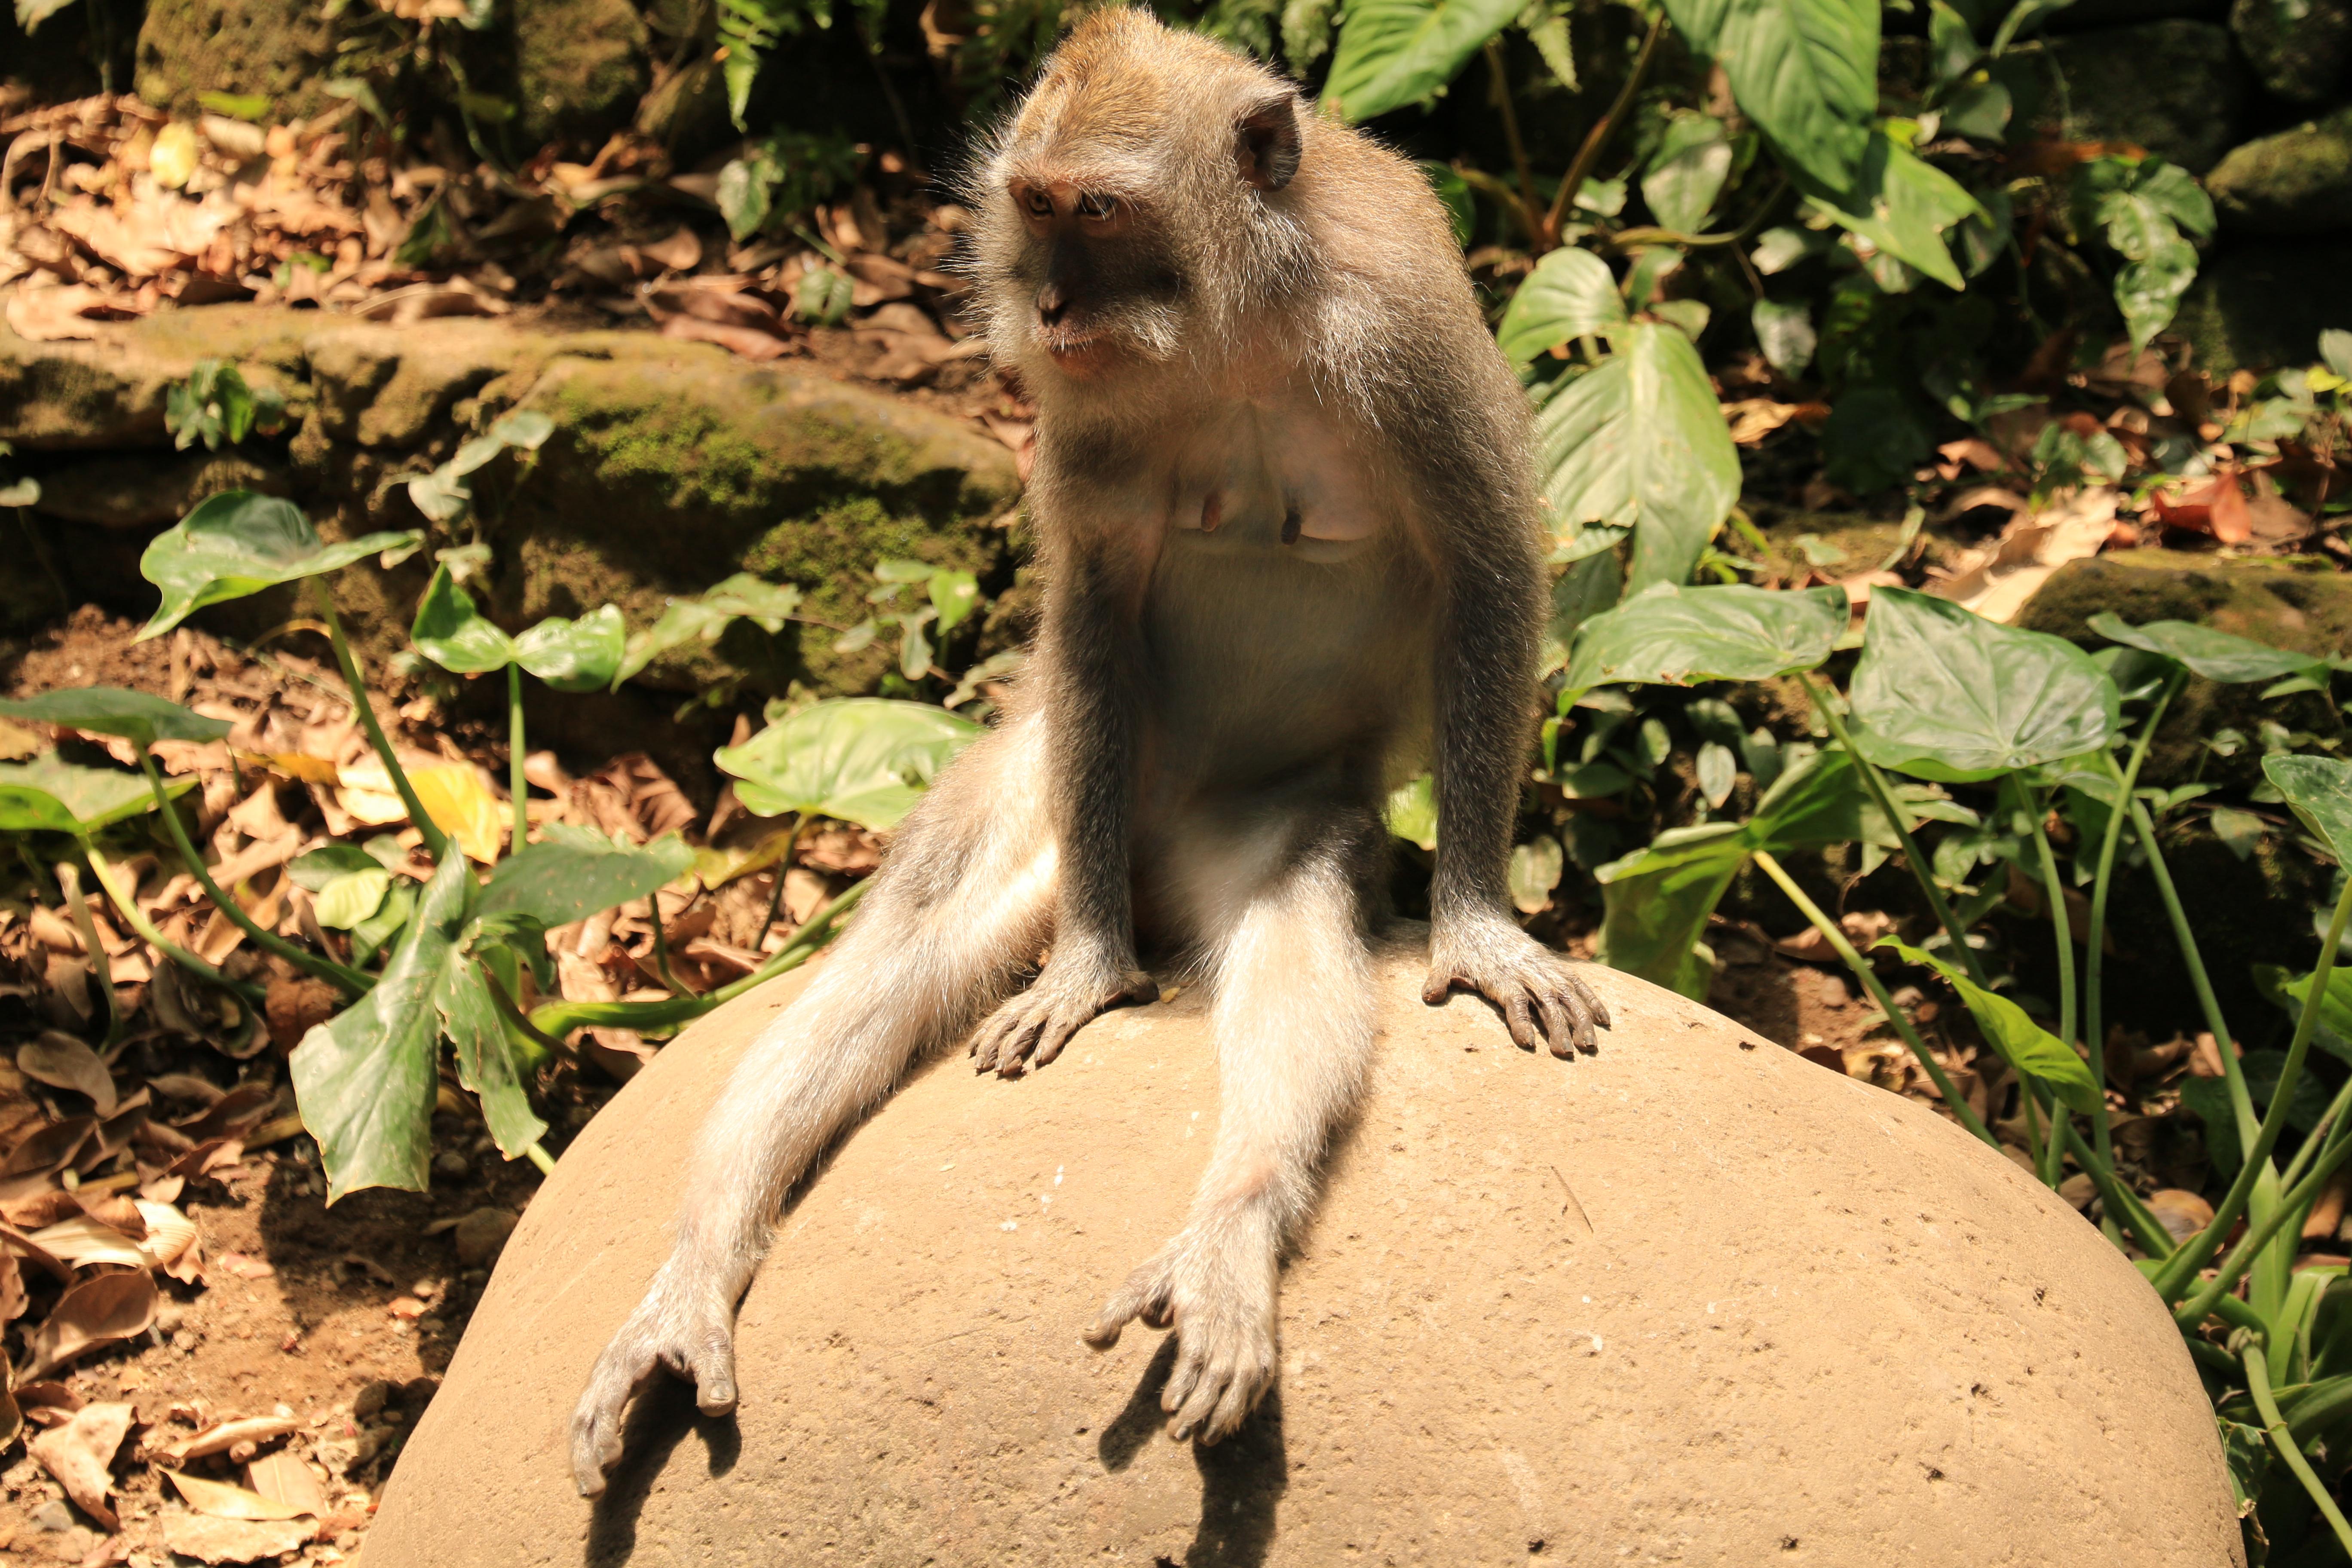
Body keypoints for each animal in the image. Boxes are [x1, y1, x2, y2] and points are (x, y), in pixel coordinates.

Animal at [569, 8, 1610, 1494]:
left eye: (1103, 212)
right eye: (1036, 208)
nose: (1051, 311)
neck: (1241, 335)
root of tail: (1151, 858)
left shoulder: (1404, 332)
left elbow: (1491, 570)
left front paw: (1478, 926)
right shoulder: (1085, 430)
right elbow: (1096, 606)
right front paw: (1086, 970)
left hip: (1253, 815)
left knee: (1290, 927)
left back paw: (1228, 1240)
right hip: (1056, 797)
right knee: (904, 943)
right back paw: (699, 1265)